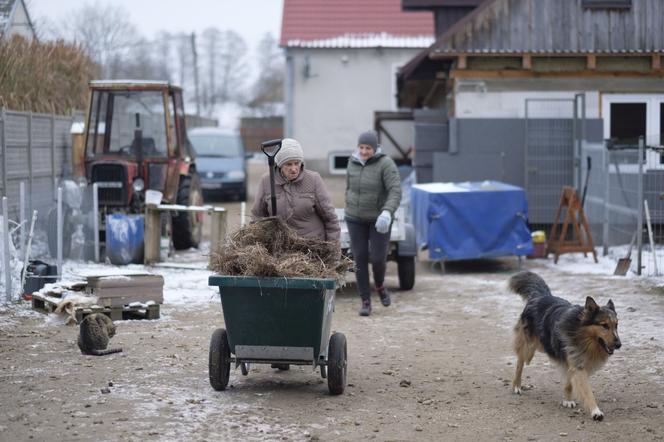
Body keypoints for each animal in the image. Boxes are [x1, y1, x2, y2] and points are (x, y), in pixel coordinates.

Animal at [508, 270, 624, 422]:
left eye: (616, 325)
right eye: (604, 325)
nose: (619, 345)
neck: (581, 334)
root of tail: (540, 296)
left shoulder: (572, 362)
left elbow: (569, 384)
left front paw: (567, 400)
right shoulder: (578, 366)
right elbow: (587, 391)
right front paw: (595, 411)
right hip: (527, 347)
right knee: (520, 363)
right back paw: (516, 385)